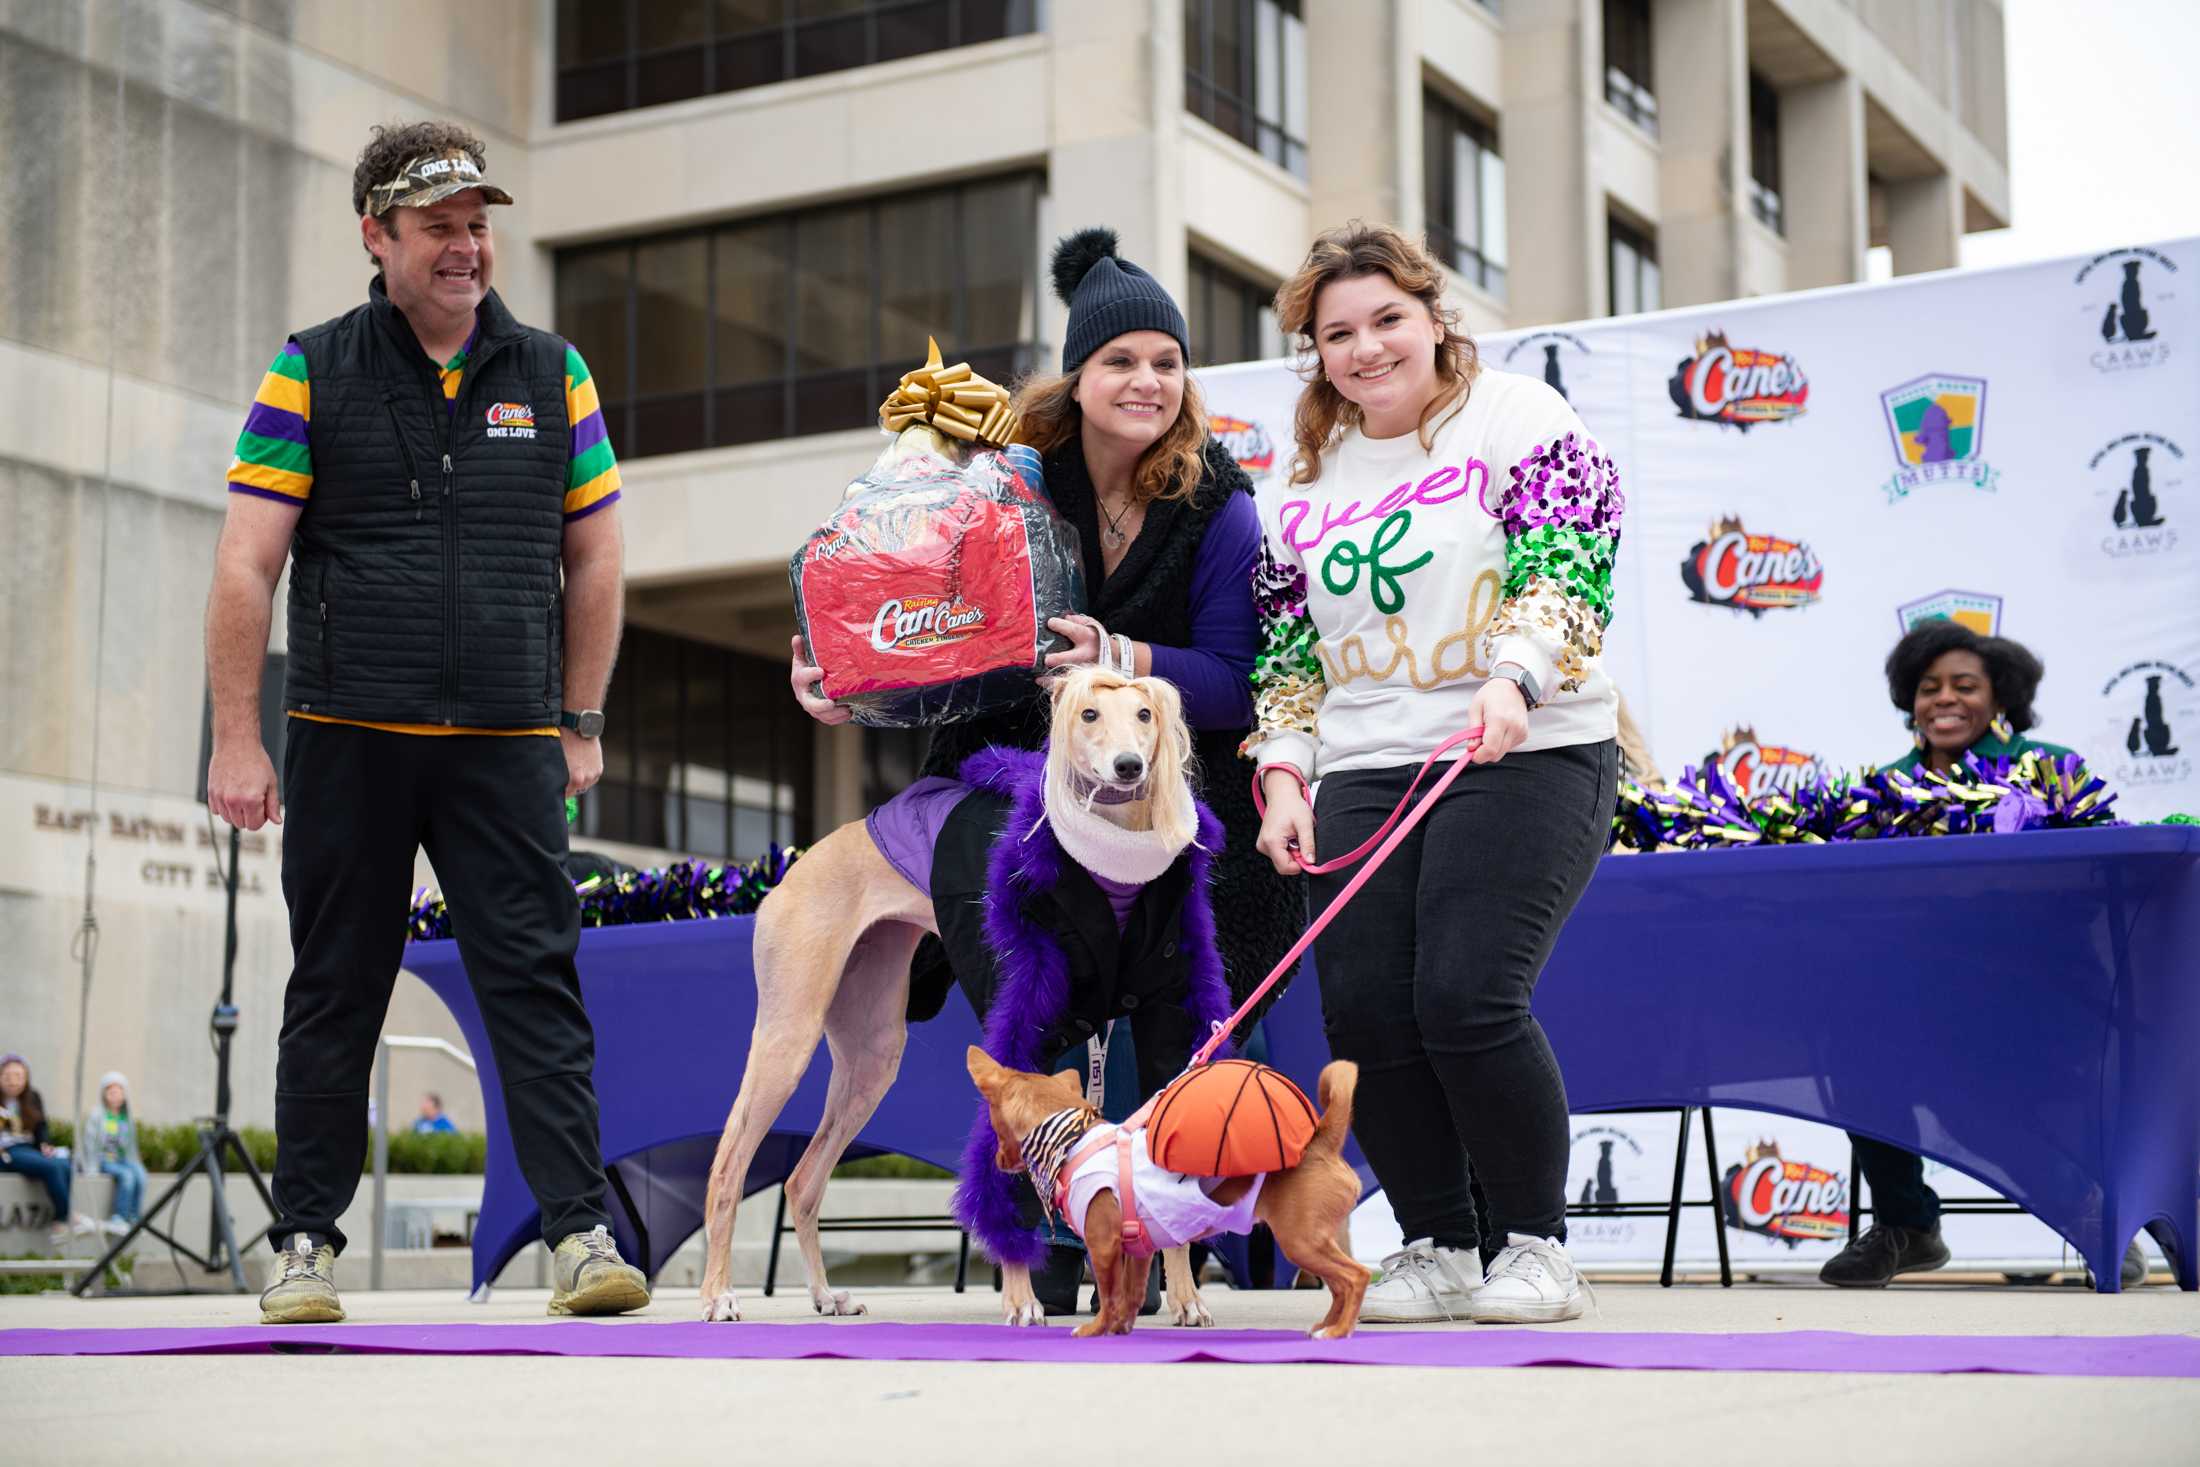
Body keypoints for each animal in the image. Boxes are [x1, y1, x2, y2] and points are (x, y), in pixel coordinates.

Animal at [699, 673, 1223, 1328]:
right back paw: (718, 1294)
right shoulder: (1023, 1030)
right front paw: (1023, 1300)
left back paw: (823, 1294)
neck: (1107, 861)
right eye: (1089, 714)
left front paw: (1186, 1297)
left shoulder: (1166, 1023)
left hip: (872, 1054)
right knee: (728, 1166)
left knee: (802, 1181)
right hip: (788, 1033)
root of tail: (792, 871)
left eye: (1146, 714)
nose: (1128, 767)